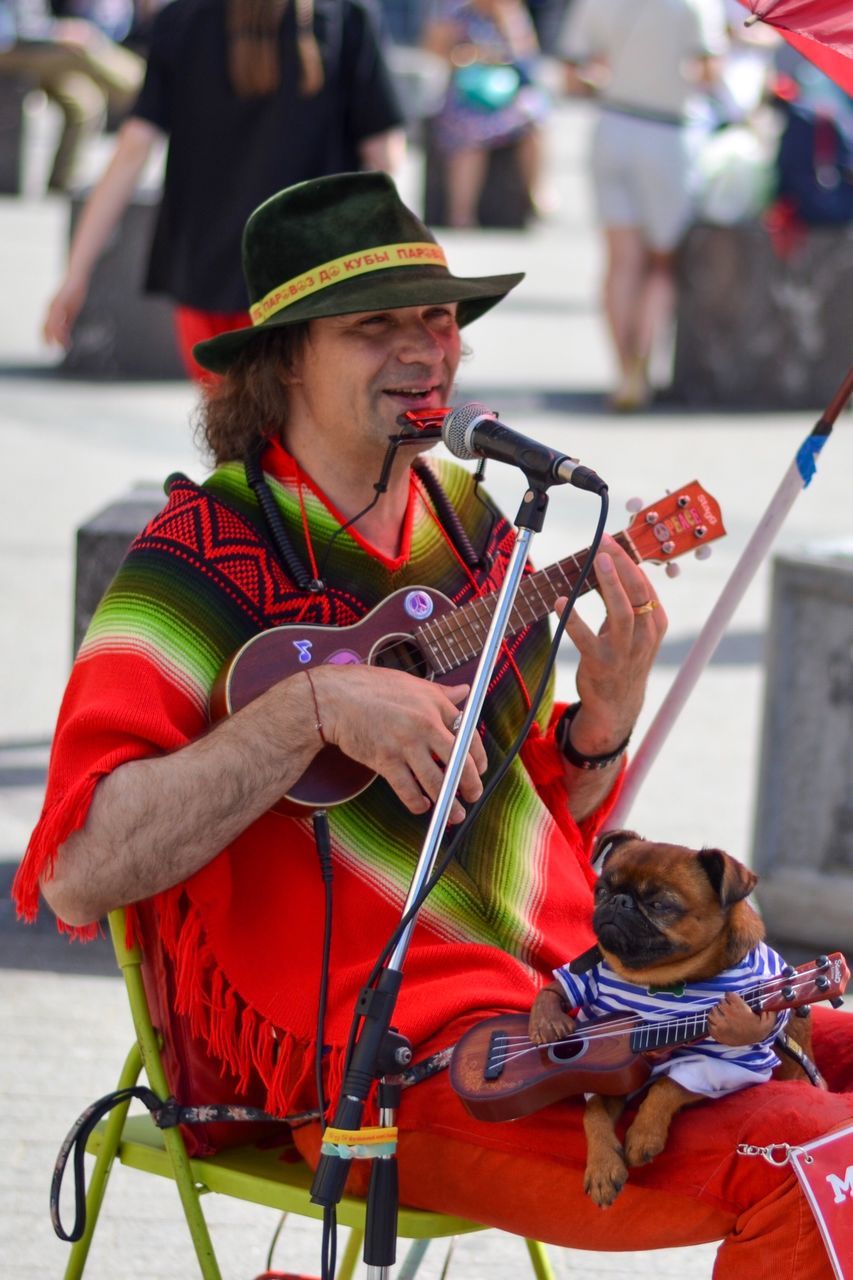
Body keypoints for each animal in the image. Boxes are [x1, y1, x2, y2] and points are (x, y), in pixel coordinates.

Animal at [525, 829, 809, 1208]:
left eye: (660, 905)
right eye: (601, 891)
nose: (619, 901)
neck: (658, 981)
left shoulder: (728, 1065)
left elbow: (669, 1085)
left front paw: (644, 1135)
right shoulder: (610, 1070)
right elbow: (594, 1112)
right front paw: (602, 1168)